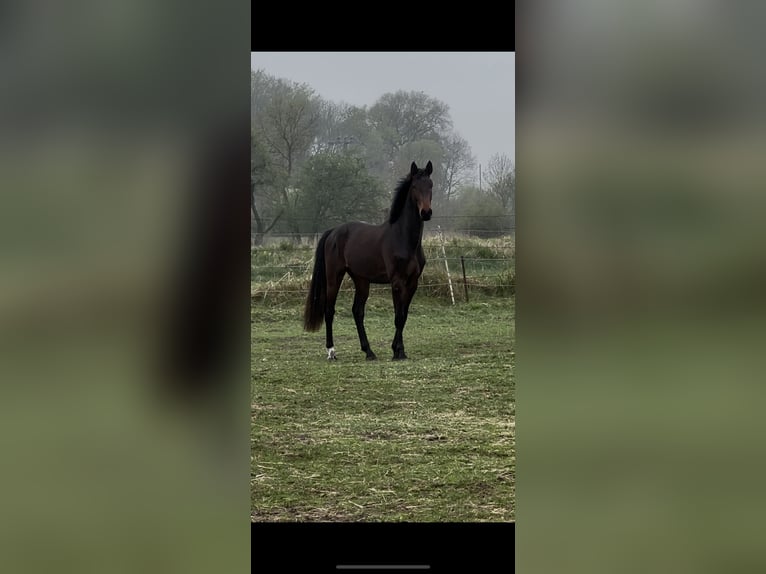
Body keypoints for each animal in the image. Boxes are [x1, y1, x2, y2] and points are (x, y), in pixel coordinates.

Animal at [303, 160, 434, 361]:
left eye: (431, 185)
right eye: (414, 187)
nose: (426, 212)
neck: (403, 239)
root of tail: (333, 232)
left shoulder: (413, 282)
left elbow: (403, 316)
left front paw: (400, 351)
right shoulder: (397, 282)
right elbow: (398, 316)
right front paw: (397, 352)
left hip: (361, 280)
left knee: (357, 312)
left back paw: (369, 351)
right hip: (334, 277)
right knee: (329, 310)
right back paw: (331, 351)